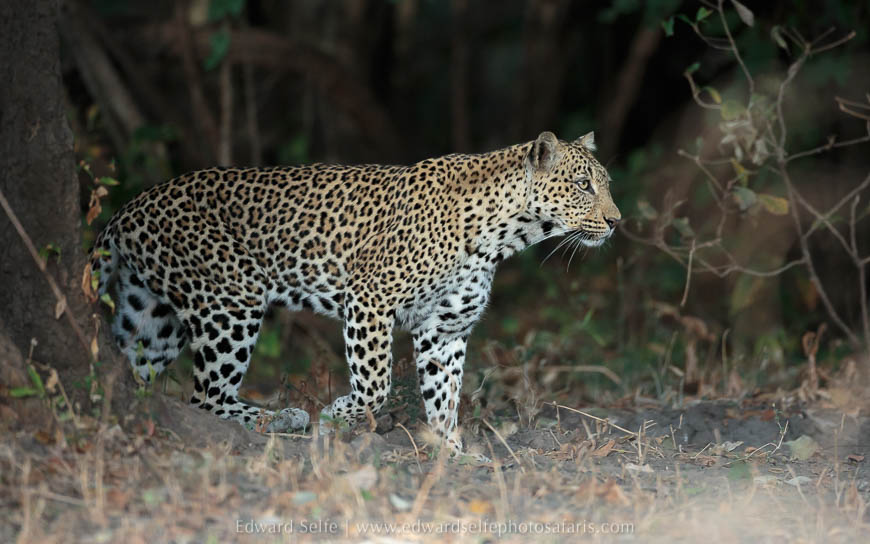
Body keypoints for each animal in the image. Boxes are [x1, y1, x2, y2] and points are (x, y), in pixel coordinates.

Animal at [88, 130, 620, 455]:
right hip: (231, 301)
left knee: (134, 373)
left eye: (606, 184)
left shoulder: (445, 329)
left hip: (152, 317)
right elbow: (375, 383)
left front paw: (450, 450)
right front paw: (338, 418)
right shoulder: (369, 299)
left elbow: (445, 395)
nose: (617, 221)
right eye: (582, 185)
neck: (504, 234)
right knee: (206, 396)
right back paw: (283, 418)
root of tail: (128, 208)